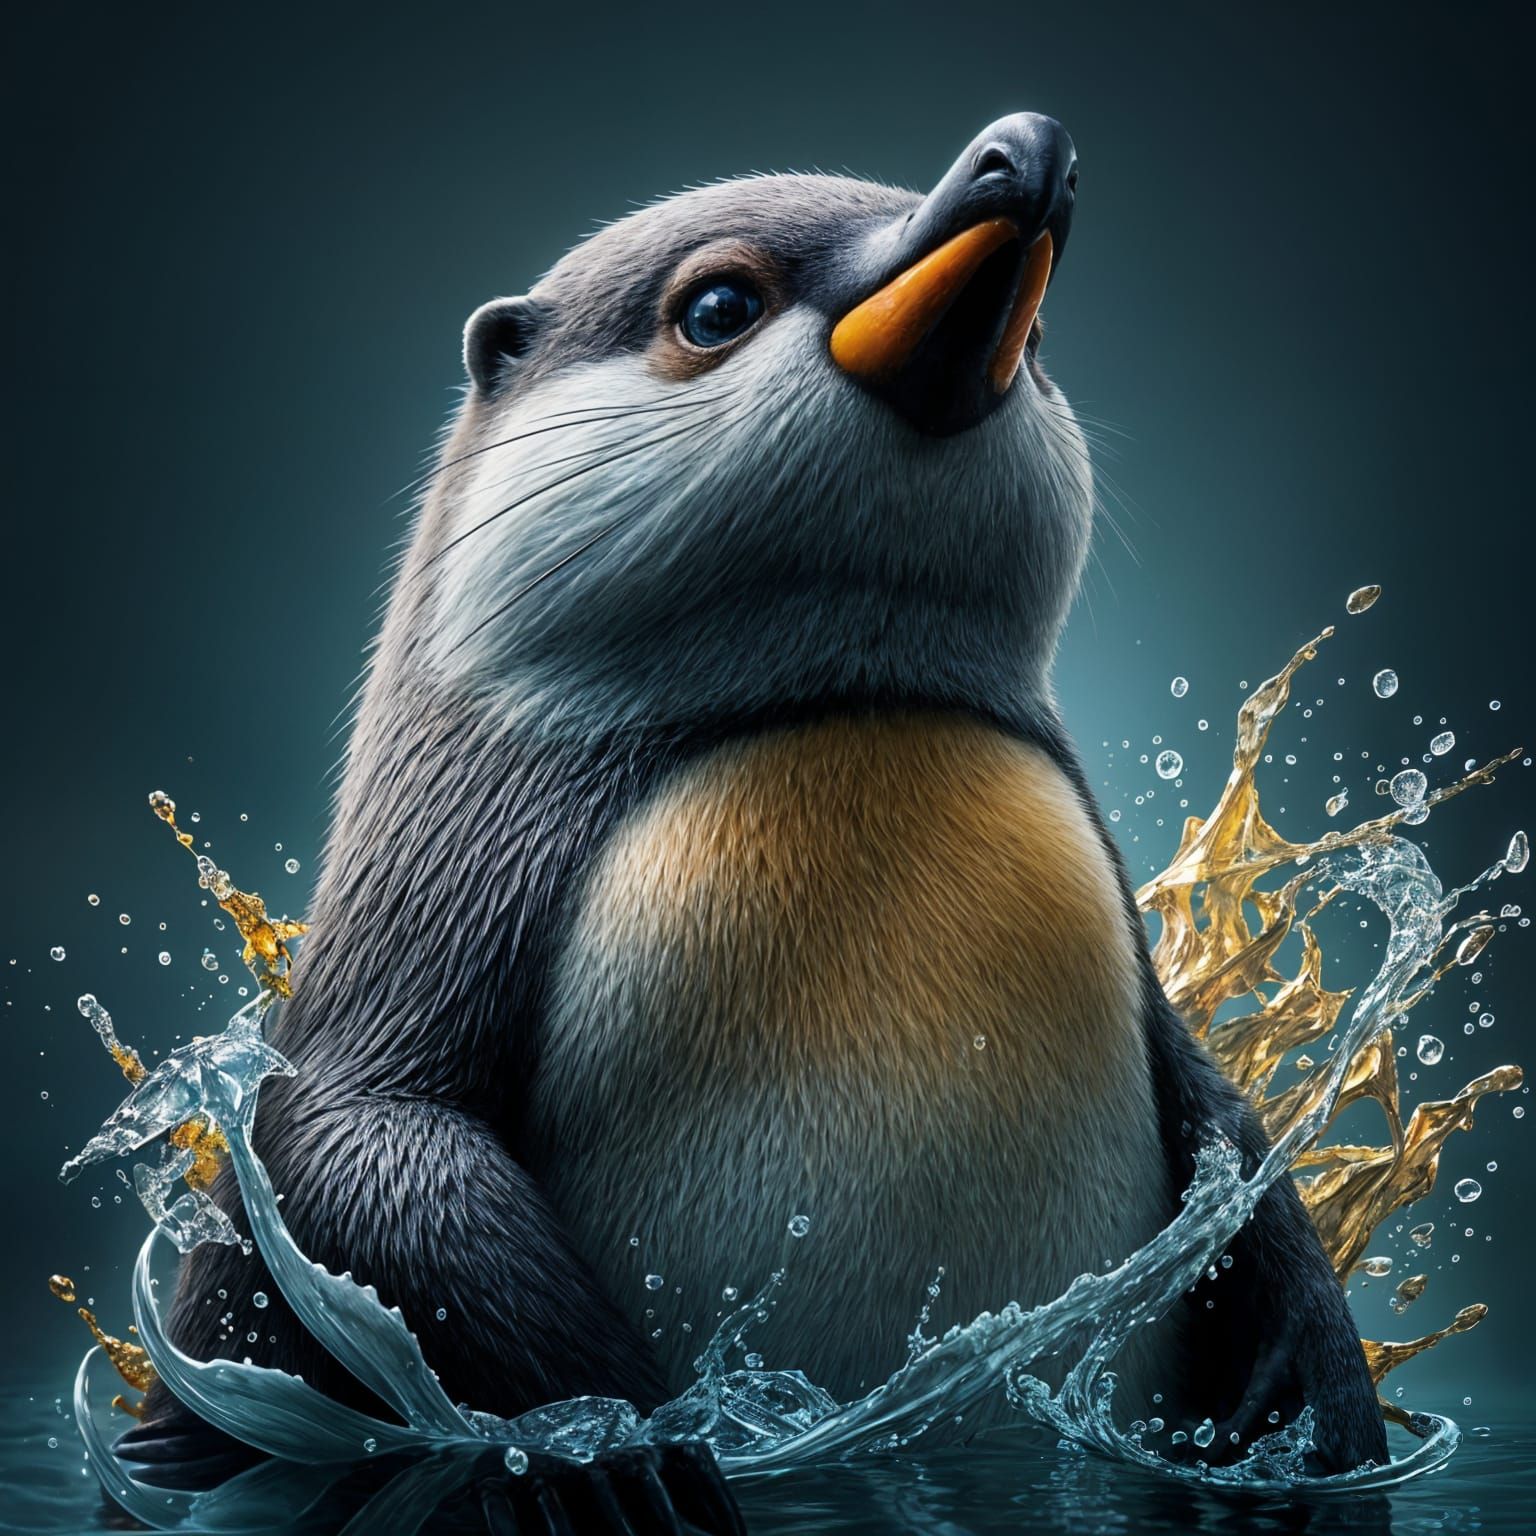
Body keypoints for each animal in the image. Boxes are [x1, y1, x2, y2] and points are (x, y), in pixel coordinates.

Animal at [121, 113, 1388, 1528]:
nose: (1025, 152)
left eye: (1045, 339)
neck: (842, 705)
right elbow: (356, 1139)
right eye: (718, 306)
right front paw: (630, 1449)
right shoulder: (438, 915)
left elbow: (1241, 1148)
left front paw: (1331, 1422)